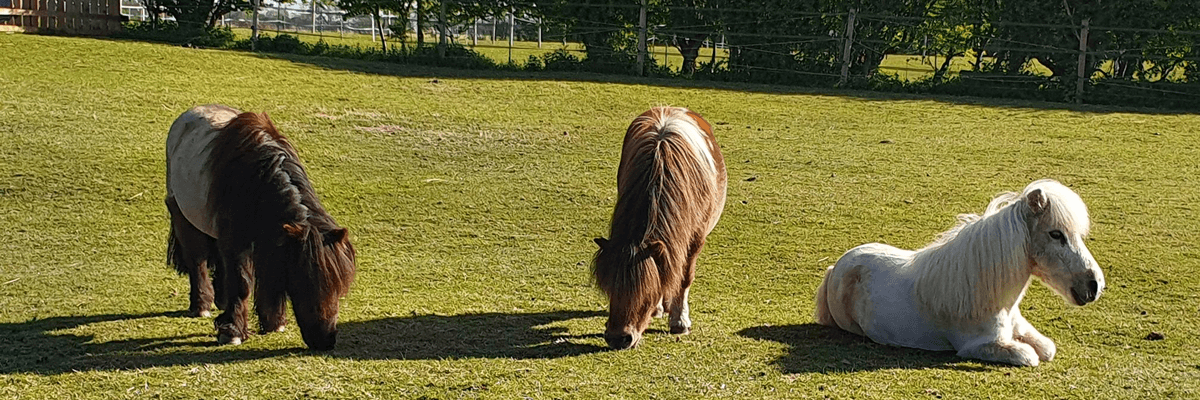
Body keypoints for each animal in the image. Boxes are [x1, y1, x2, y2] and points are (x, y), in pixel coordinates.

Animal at [165, 105, 356, 350]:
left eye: (339, 287)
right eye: (305, 281)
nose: (326, 340)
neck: (258, 177)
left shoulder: (271, 238)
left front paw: (274, 322)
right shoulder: (236, 242)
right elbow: (242, 283)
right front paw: (233, 331)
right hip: (182, 214)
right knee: (197, 259)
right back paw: (202, 305)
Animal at [592, 107, 727, 350]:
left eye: (645, 291)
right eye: (608, 288)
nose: (618, 338)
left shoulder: (695, 239)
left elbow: (684, 278)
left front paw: (680, 321)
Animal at [814, 179, 1104, 366]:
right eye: (1056, 234)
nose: (1094, 286)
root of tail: (836, 266)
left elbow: (1047, 349)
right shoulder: (978, 346)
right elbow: (1030, 356)